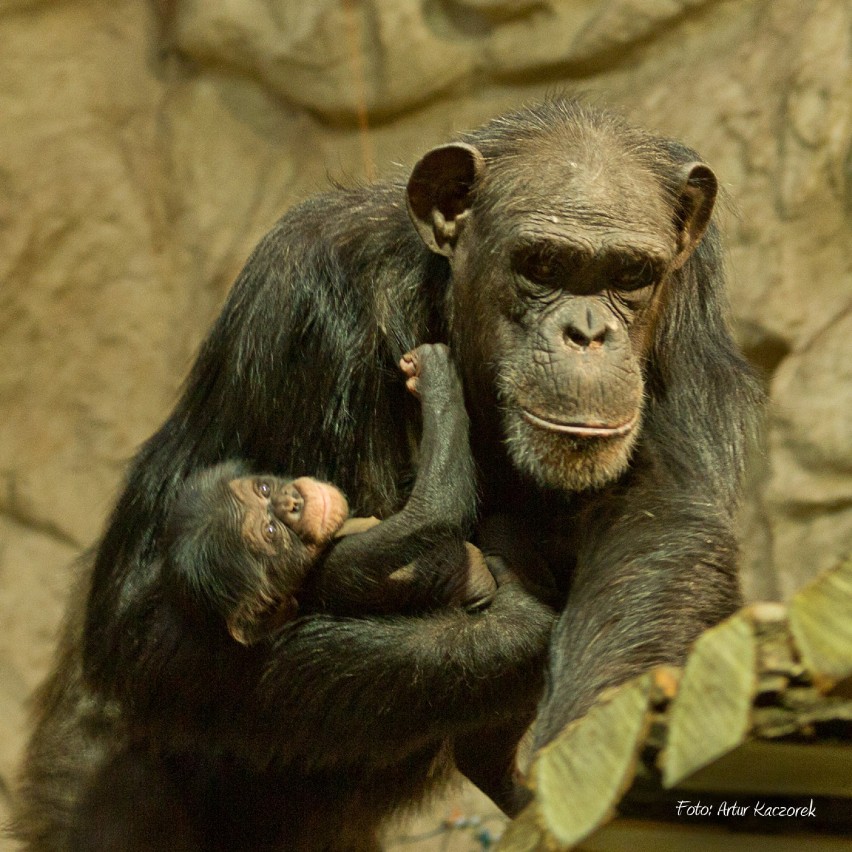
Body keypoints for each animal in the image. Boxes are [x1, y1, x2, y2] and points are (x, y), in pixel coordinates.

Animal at [13, 96, 760, 848]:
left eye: (631, 277)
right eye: (543, 264)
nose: (587, 333)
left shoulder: (689, 300)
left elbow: (662, 516)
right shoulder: (291, 294)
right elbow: (146, 624)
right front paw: (516, 628)